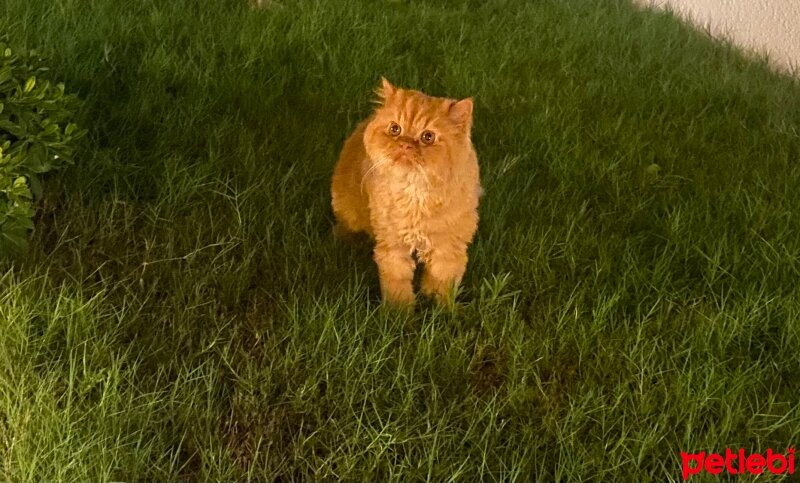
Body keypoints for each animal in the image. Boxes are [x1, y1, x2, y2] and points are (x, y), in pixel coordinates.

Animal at [332, 79, 482, 306]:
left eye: (428, 137)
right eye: (395, 129)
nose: (404, 144)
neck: (416, 192)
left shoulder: (448, 248)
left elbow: (441, 285)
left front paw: (441, 308)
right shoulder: (393, 248)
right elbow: (398, 287)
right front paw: (399, 312)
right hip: (349, 212)